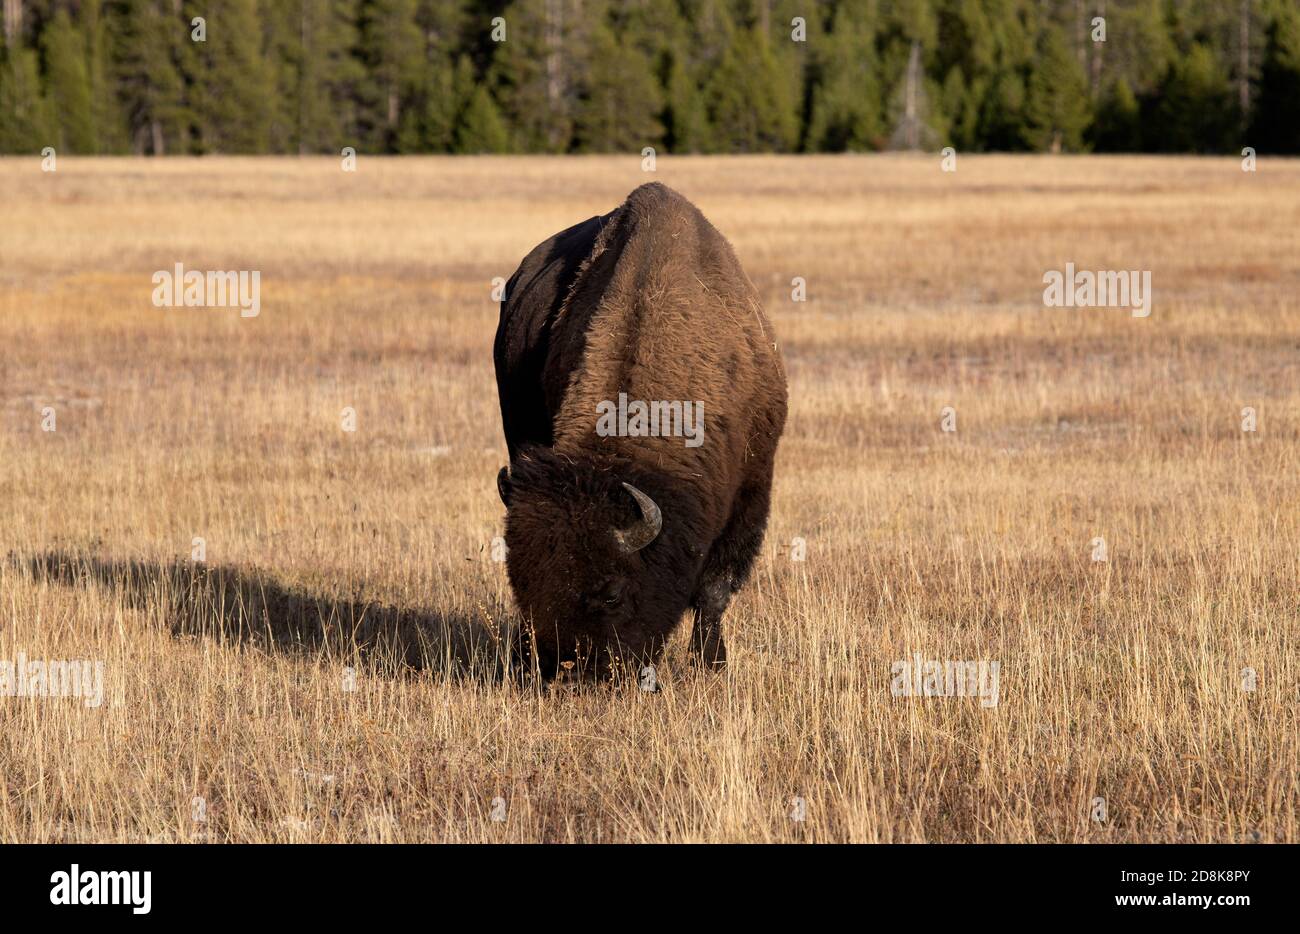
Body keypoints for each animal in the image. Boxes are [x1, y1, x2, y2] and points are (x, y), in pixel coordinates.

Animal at [491, 180, 785, 681]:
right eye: (521, 582)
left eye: (611, 592)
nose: (565, 668)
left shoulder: (751, 488)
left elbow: (715, 588)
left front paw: (711, 663)